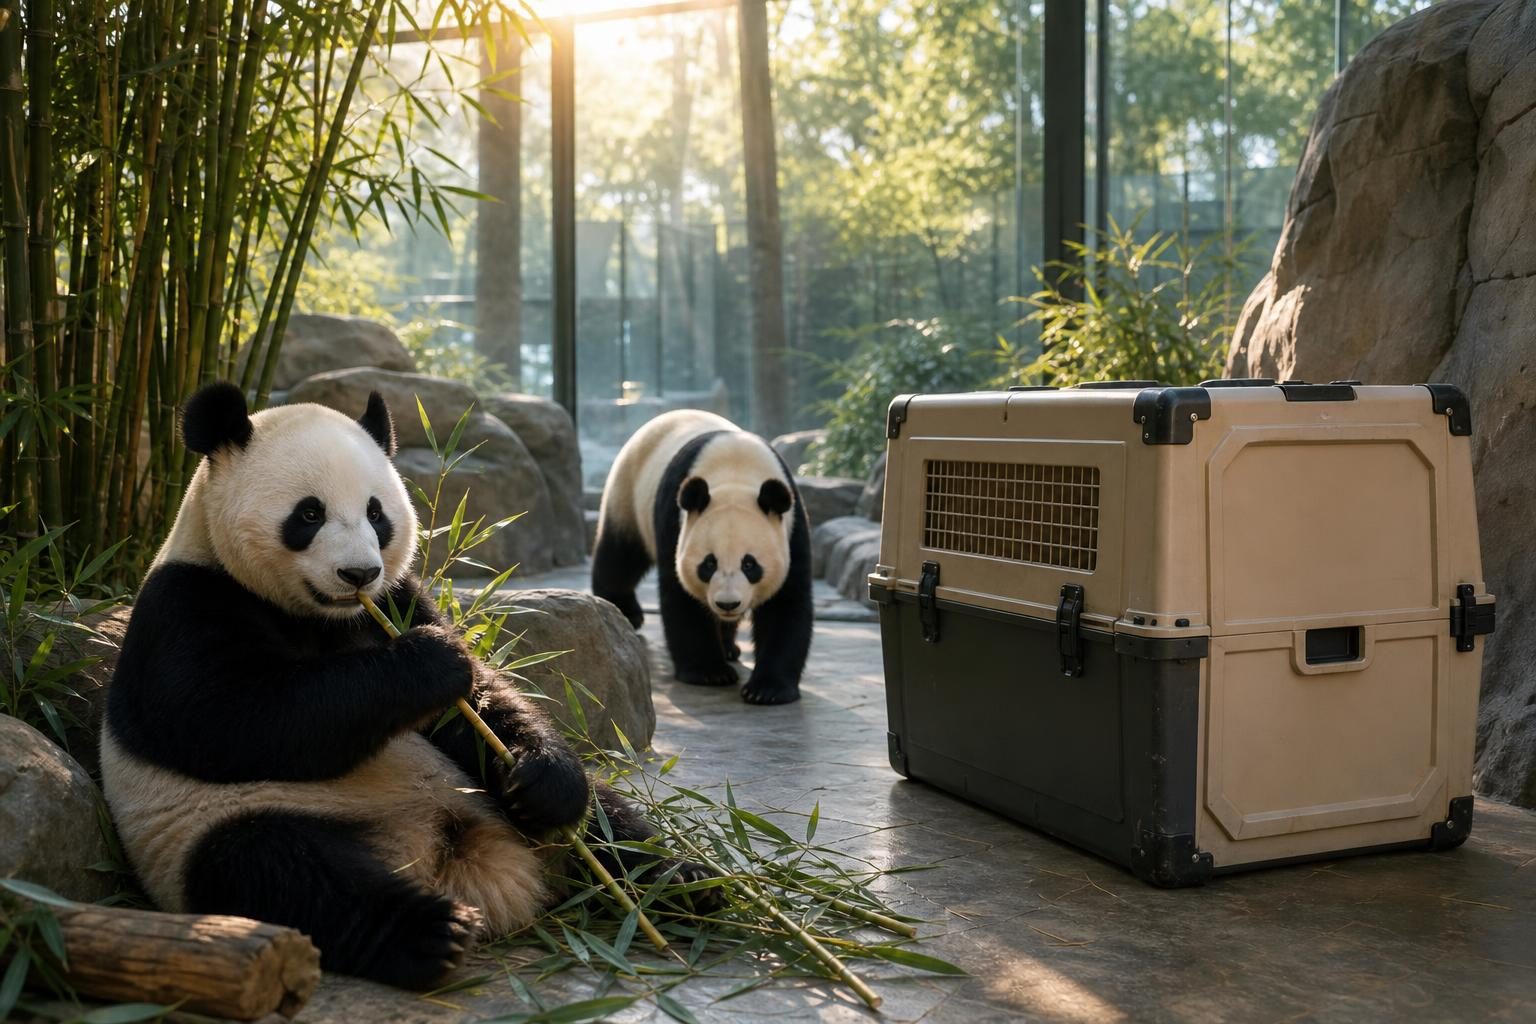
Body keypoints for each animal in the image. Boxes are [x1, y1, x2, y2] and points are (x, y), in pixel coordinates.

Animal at [101, 381, 709, 990]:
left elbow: (480, 709)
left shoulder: (397, 600)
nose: (359, 574)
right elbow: (233, 718)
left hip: (498, 804)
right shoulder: (186, 603)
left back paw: (683, 885)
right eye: (309, 514)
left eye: (377, 513)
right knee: (281, 870)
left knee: (608, 821)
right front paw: (431, 662)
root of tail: (451, 859)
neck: (320, 616)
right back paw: (437, 932)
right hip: (207, 832)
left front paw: (541, 777)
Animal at [591, 410, 812, 706]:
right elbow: (681, 597)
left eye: (750, 564)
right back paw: (625, 611)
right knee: (621, 557)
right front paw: (710, 673)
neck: (736, 472)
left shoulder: (791, 527)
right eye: (708, 564)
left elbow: (787, 604)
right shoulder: (676, 520)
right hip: (628, 495)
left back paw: (729, 646)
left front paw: (767, 690)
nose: (727, 603)